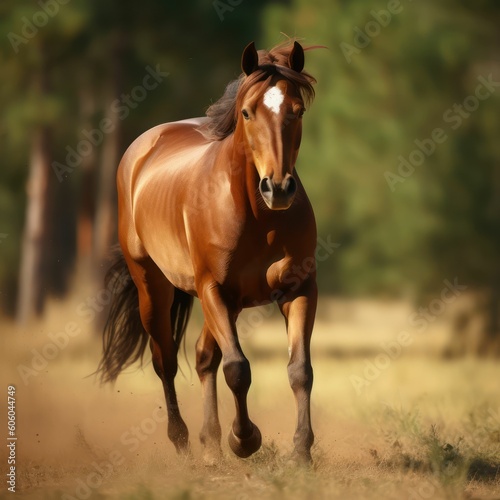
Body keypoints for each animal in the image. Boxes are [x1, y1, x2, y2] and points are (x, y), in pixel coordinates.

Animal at [97, 40, 318, 464]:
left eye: (298, 111)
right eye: (247, 112)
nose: (278, 188)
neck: (256, 215)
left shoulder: (299, 290)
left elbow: (300, 370)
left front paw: (301, 450)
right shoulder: (212, 288)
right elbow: (237, 369)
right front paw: (245, 440)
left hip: (229, 304)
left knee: (202, 357)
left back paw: (210, 442)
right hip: (154, 288)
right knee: (165, 361)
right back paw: (183, 440)